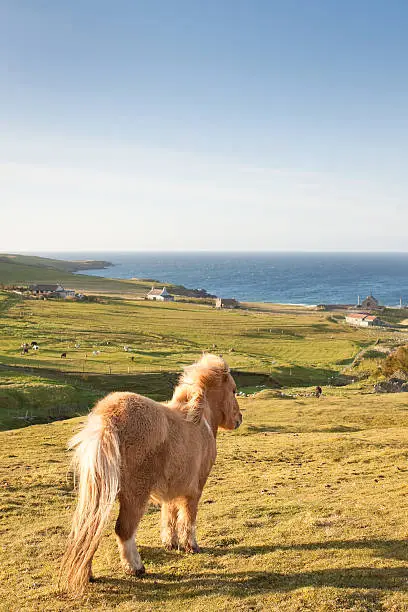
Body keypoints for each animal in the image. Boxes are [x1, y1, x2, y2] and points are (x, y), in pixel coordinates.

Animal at [60, 354, 242, 596]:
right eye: (233, 390)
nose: (239, 418)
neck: (199, 420)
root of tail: (108, 418)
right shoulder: (194, 491)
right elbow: (188, 519)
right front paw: (191, 546)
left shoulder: (173, 489)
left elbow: (169, 515)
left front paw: (171, 543)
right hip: (135, 496)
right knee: (124, 530)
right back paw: (135, 568)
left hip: (101, 493)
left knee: (90, 528)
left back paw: (89, 574)